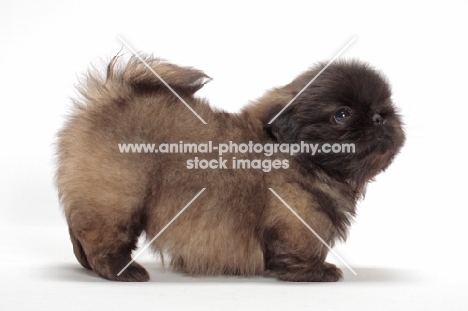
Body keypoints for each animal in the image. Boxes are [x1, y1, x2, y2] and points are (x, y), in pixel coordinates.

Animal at [55, 56, 406, 282]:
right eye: (342, 114)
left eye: (386, 108)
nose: (380, 118)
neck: (298, 155)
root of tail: (111, 97)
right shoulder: (300, 217)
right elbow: (302, 248)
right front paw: (315, 272)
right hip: (116, 198)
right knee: (103, 240)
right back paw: (122, 271)